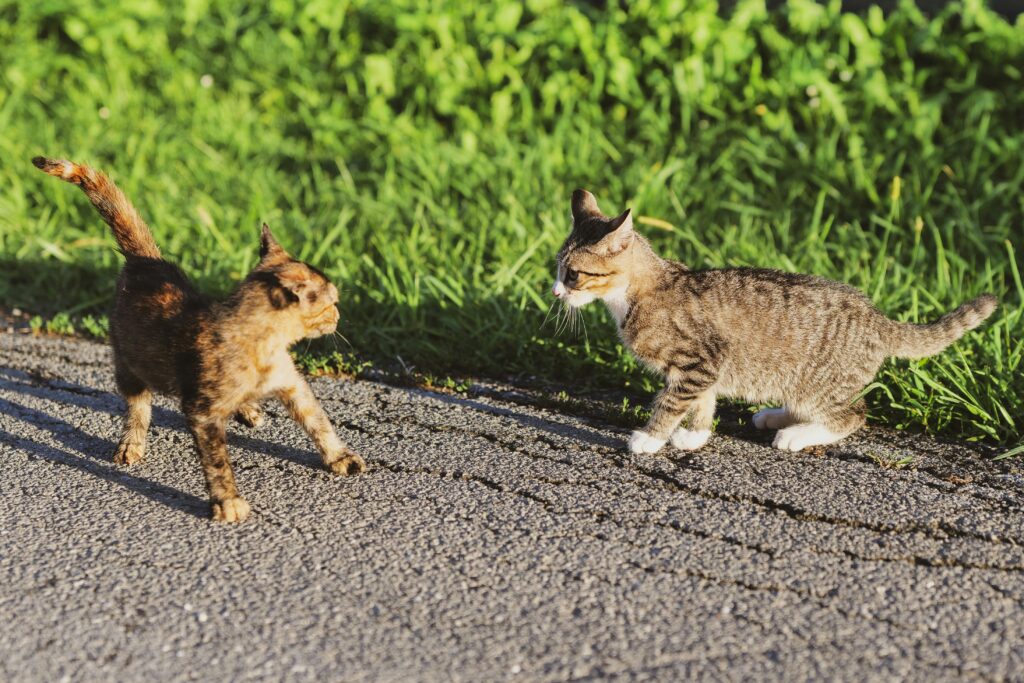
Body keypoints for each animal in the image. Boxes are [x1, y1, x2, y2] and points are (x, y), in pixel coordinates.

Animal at [34, 157, 364, 524]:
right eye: (331, 302)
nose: (339, 316)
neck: (267, 346)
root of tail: (146, 261)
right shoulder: (202, 412)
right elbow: (217, 461)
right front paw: (228, 502)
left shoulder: (293, 384)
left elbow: (318, 421)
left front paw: (340, 457)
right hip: (128, 362)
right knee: (138, 406)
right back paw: (132, 444)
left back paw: (248, 409)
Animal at [557, 188, 995, 454]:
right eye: (557, 268)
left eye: (573, 274)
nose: (556, 292)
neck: (640, 292)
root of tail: (876, 317)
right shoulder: (705, 367)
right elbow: (701, 400)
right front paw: (695, 435)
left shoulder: (699, 361)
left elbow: (672, 401)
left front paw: (650, 439)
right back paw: (775, 415)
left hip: (822, 382)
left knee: (852, 415)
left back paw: (796, 434)